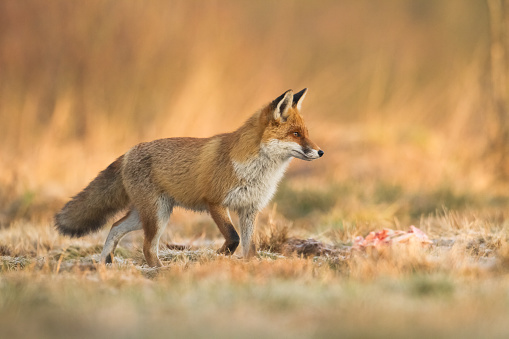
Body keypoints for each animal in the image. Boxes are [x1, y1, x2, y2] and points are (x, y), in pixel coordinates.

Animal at [54, 89, 322, 266]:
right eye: (295, 134)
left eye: (306, 133)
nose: (320, 152)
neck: (257, 171)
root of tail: (129, 151)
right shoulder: (215, 202)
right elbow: (233, 238)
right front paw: (217, 257)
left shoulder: (249, 209)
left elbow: (250, 247)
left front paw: (250, 267)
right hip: (157, 215)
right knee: (147, 246)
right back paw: (159, 271)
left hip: (150, 214)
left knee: (115, 226)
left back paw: (105, 262)